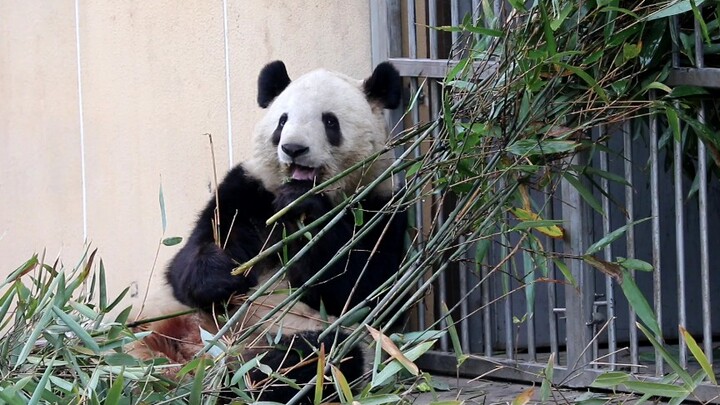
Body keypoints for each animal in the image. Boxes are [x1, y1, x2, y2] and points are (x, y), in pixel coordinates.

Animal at [133, 59, 408, 400]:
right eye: (282, 121)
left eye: (330, 122)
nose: (293, 148)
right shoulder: (248, 191)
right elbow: (187, 261)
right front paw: (222, 276)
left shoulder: (382, 205)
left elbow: (364, 287)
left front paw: (308, 211)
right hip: (149, 320)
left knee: (318, 357)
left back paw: (236, 378)